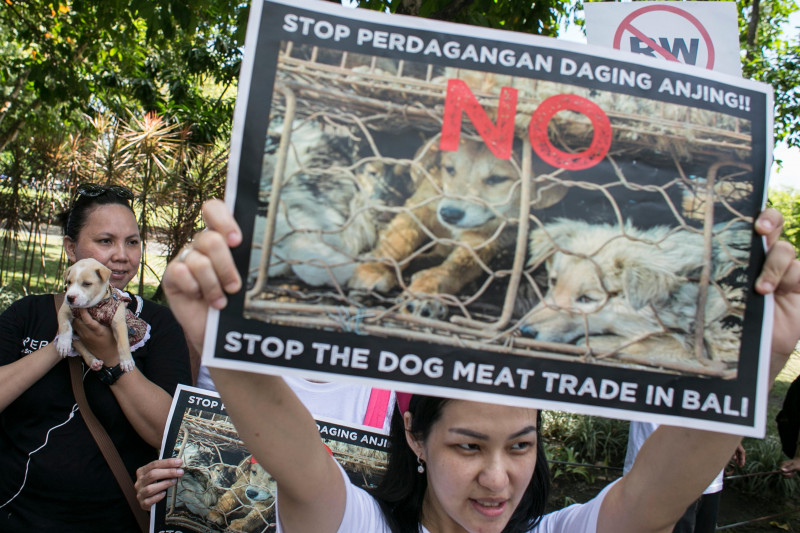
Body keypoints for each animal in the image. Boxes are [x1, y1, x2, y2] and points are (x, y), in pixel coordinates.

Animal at [346, 138, 564, 320]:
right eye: (449, 169)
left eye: (496, 179)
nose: (449, 214)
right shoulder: (421, 205)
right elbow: (398, 239)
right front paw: (376, 268)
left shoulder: (485, 238)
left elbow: (457, 266)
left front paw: (427, 289)